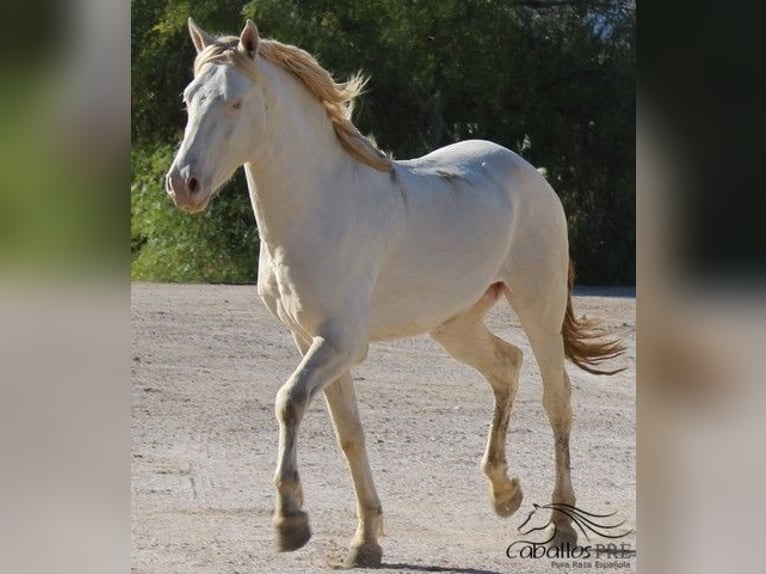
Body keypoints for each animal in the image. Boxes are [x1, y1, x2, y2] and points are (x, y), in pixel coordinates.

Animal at [166, 19, 624, 572]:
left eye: (234, 102)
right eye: (188, 99)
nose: (183, 184)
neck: (322, 204)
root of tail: (530, 174)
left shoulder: (341, 342)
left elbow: (289, 402)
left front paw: (291, 523)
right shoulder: (310, 340)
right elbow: (349, 432)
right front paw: (366, 540)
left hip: (540, 305)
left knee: (557, 399)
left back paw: (561, 527)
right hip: (454, 325)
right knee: (506, 367)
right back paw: (504, 492)